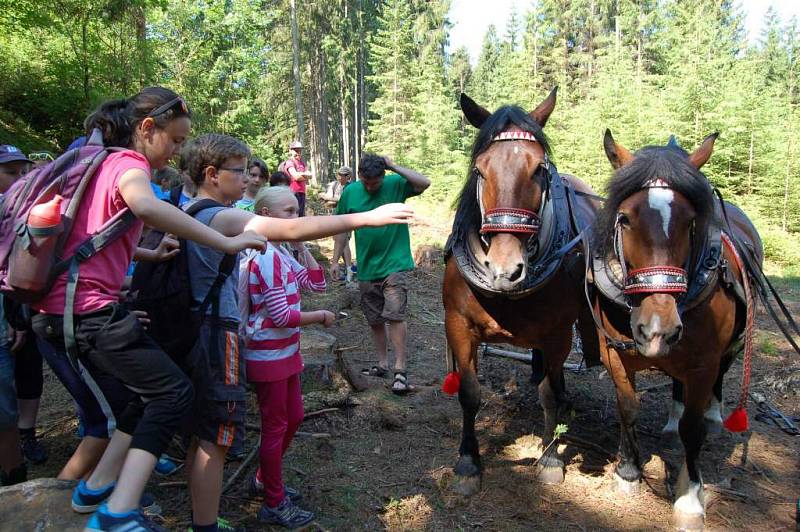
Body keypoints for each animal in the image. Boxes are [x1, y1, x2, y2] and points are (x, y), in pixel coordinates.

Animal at [444, 88, 600, 494]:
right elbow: (469, 393)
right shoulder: (458, 326)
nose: (505, 269)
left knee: (554, 377)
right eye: (479, 170)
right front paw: (468, 461)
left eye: (539, 170)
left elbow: (547, 394)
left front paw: (549, 459)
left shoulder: (558, 333)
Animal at [588, 131, 764, 528]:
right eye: (624, 219)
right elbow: (628, 408)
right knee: (676, 386)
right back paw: (671, 421)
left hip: (727, 349)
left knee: (718, 379)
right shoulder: (614, 355)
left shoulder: (703, 363)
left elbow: (692, 429)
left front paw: (689, 496)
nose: (658, 329)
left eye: (690, 222)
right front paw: (628, 472)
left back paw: (714, 416)